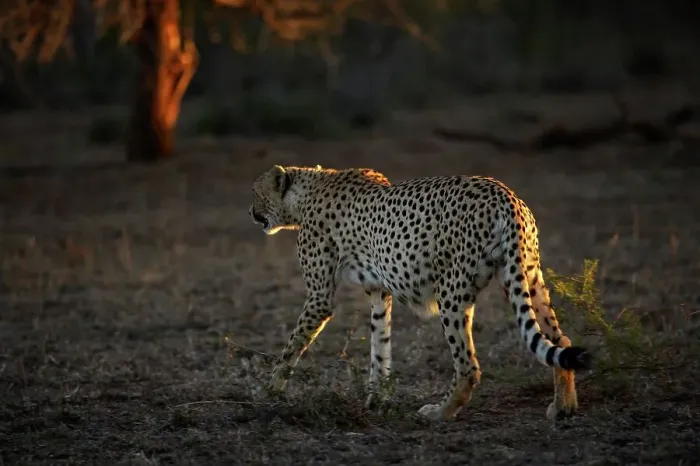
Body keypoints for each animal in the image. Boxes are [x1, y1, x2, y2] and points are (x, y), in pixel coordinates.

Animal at [248, 164, 592, 421]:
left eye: (255, 192)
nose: (250, 212)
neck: (305, 193)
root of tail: (505, 193)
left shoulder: (320, 297)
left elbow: (291, 348)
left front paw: (270, 390)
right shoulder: (379, 291)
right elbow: (380, 345)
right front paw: (376, 398)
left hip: (452, 292)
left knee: (468, 366)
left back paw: (439, 413)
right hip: (525, 275)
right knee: (560, 340)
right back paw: (564, 406)